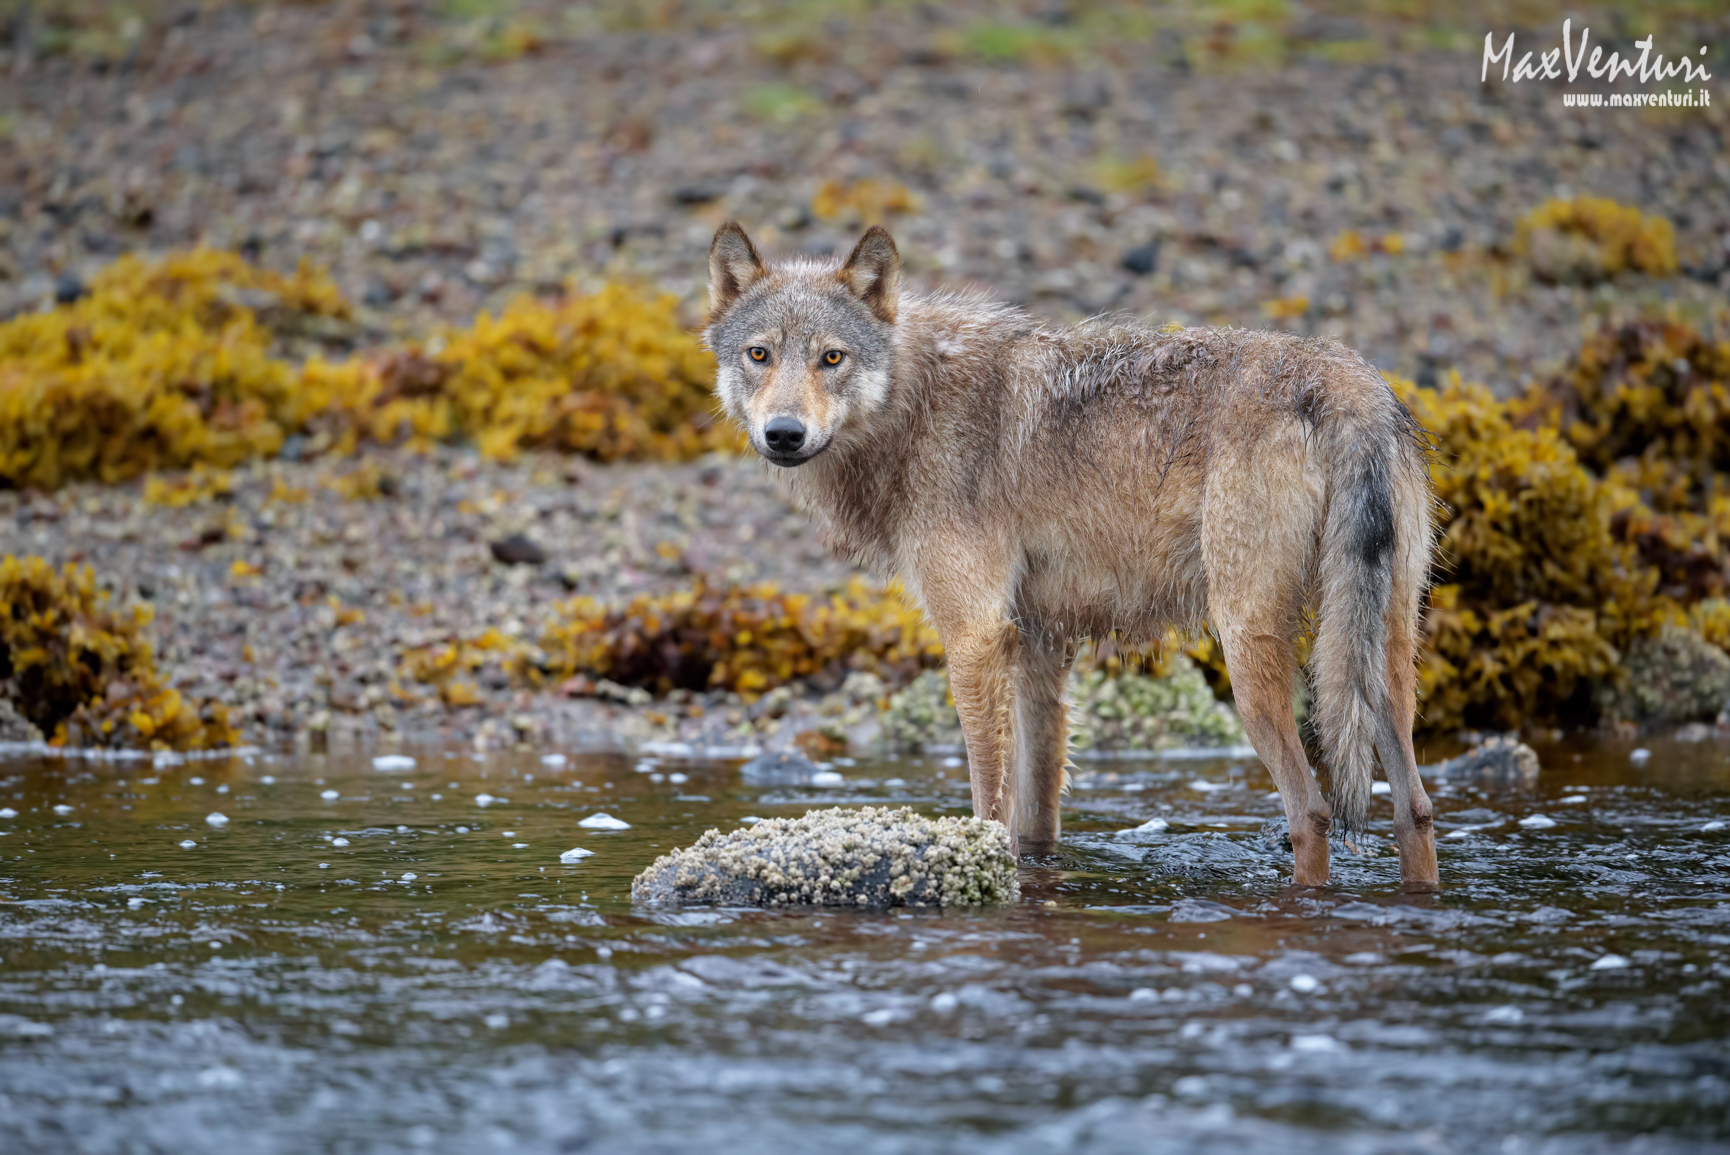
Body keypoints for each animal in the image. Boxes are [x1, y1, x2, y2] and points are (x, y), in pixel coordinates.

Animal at [705, 221, 1439, 888]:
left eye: (831, 358)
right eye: (760, 354)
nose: (784, 434)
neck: (914, 405)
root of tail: (1348, 384)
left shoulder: (974, 636)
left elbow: (989, 798)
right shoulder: (1040, 647)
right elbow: (1035, 818)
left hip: (1248, 658)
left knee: (1311, 813)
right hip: (1384, 656)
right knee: (1416, 809)